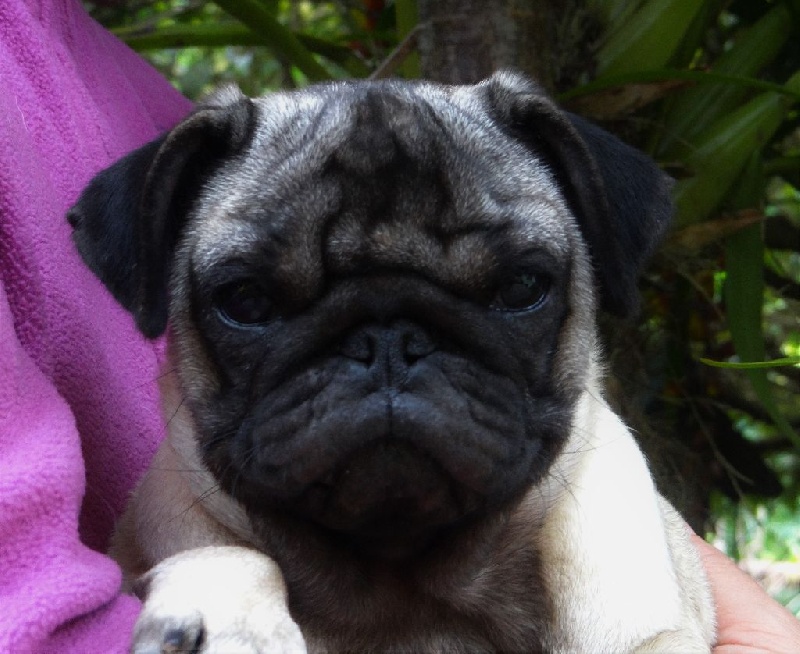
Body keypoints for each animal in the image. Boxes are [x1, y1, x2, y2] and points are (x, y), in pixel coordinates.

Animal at [68, 71, 715, 653]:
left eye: (521, 287)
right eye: (246, 301)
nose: (386, 342)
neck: (405, 590)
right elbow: (231, 556)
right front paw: (227, 619)